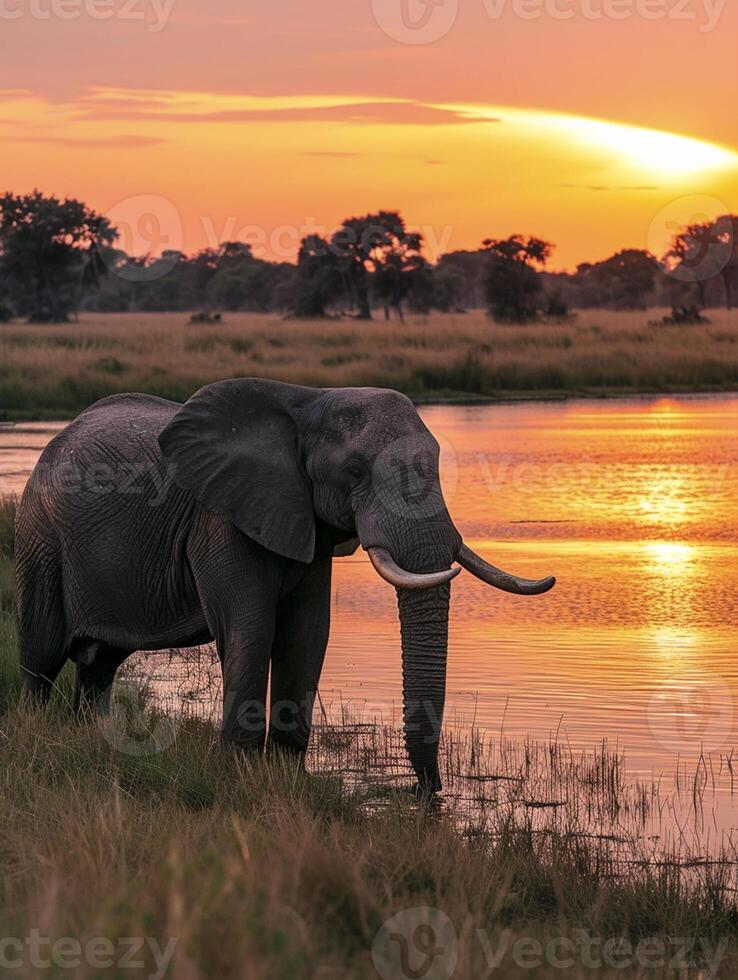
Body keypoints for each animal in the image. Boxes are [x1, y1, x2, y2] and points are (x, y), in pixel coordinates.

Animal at [15, 378, 552, 792]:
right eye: (354, 472)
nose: (428, 793)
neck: (309, 402)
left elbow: (307, 633)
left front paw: (287, 771)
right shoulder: (221, 519)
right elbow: (251, 628)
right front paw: (237, 769)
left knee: (100, 664)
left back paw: (90, 734)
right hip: (40, 539)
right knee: (41, 654)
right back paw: (33, 730)